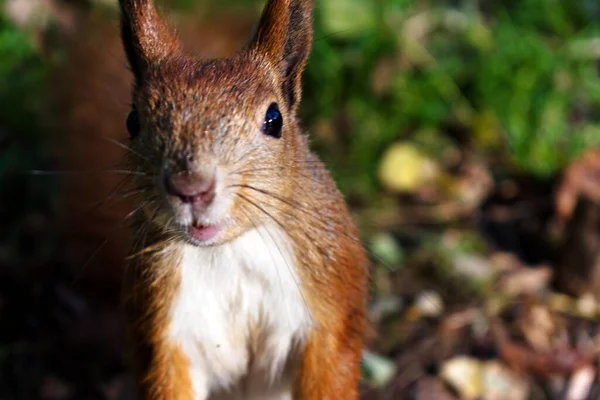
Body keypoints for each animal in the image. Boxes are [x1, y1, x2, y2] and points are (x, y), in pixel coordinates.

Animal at [116, 0, 370, 396]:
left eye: (274, 119)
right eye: (133, 121)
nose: (190, 186)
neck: (229, 251)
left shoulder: (332, 303)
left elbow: (330, 372)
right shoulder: (162, 327)